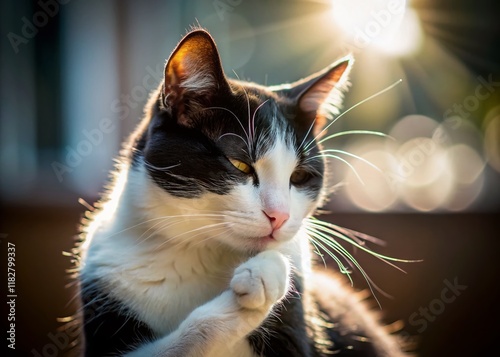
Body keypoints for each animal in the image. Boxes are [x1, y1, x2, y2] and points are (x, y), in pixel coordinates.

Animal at [74, 28, 410, 356]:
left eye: (300, 176)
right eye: (240, 165)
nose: (280, 216)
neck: (199, 252)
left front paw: (269, 271)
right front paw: (257, 286)